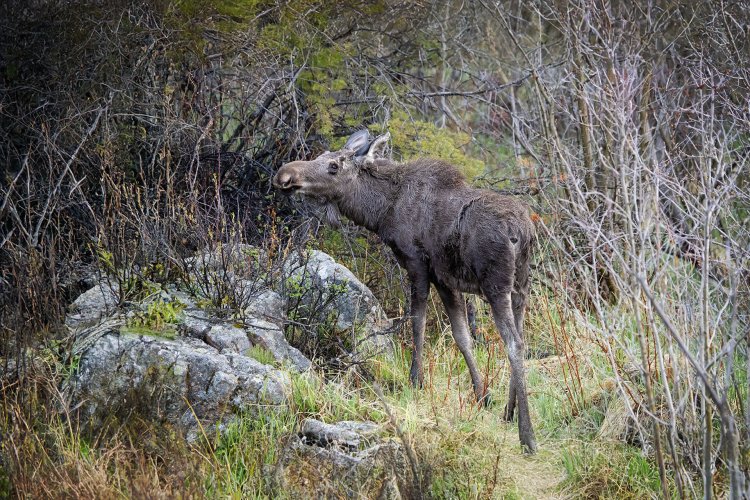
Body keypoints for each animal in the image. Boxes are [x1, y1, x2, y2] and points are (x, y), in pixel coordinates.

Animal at [274, 131, 536, 452]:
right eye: (321, 156)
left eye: (333, 166)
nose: (285, 175)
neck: (381, 212)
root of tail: (522, 232)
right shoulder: (444, 279)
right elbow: (462, 337)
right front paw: (482, 394)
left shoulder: (416, 264)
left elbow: (417, 324)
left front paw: (416, 380)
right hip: (520, 287)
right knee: (521, 338)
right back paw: (509, 412)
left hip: (496, 286)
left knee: (514, 344)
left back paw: (527, 435)